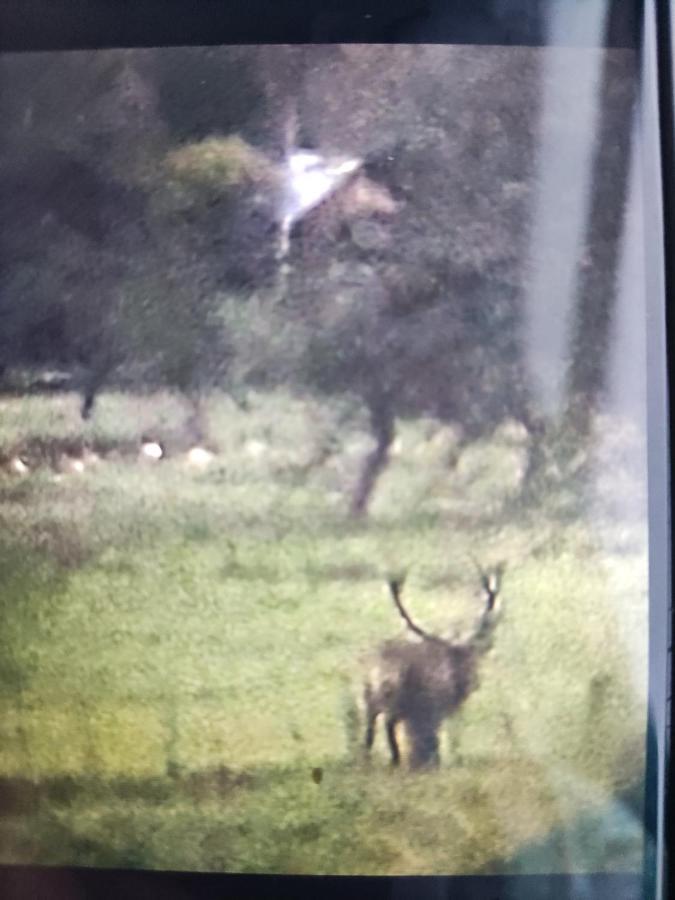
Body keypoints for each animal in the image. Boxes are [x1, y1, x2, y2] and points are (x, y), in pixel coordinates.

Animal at [364, 560, 508, 768]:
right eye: (470, 660)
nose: (474, 683)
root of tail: (379, 671)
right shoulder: (436, 706)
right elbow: (438, 739)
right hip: (397, 701)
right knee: (389, 725)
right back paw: (396, 760)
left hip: (369, 699)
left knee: (370, 729)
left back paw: (368, 757)